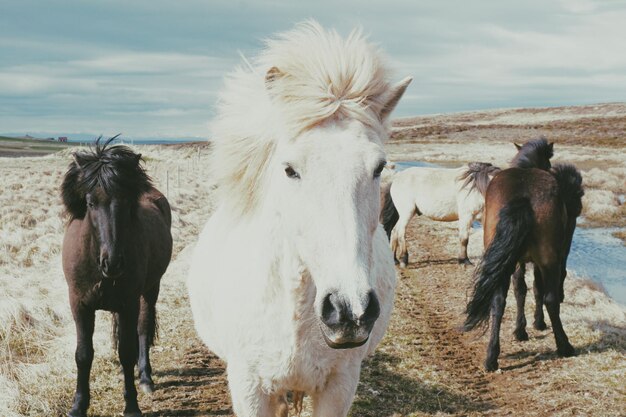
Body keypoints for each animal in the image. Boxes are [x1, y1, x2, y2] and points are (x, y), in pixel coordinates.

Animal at [60, 137, 171, 416]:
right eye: (90, 203)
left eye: (127, 203)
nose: (112, 263)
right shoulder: (79, 304)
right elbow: (83, 354)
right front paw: (78, 405)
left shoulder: (128, 303)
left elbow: (128, 351)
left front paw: (131, 405)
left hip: (150, 291)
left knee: (142, 329)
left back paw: (145, 377)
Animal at [460, 138, 584, 372]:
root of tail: (522, 196)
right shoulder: (546, 260)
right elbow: (536, 289)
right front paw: (537, 323)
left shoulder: (517, 261)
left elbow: (520, 290)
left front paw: (520, 330)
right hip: (549, 261)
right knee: (550, 298)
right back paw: (564, 346)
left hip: (504, 262)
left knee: (498, 301)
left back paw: (491, 357)